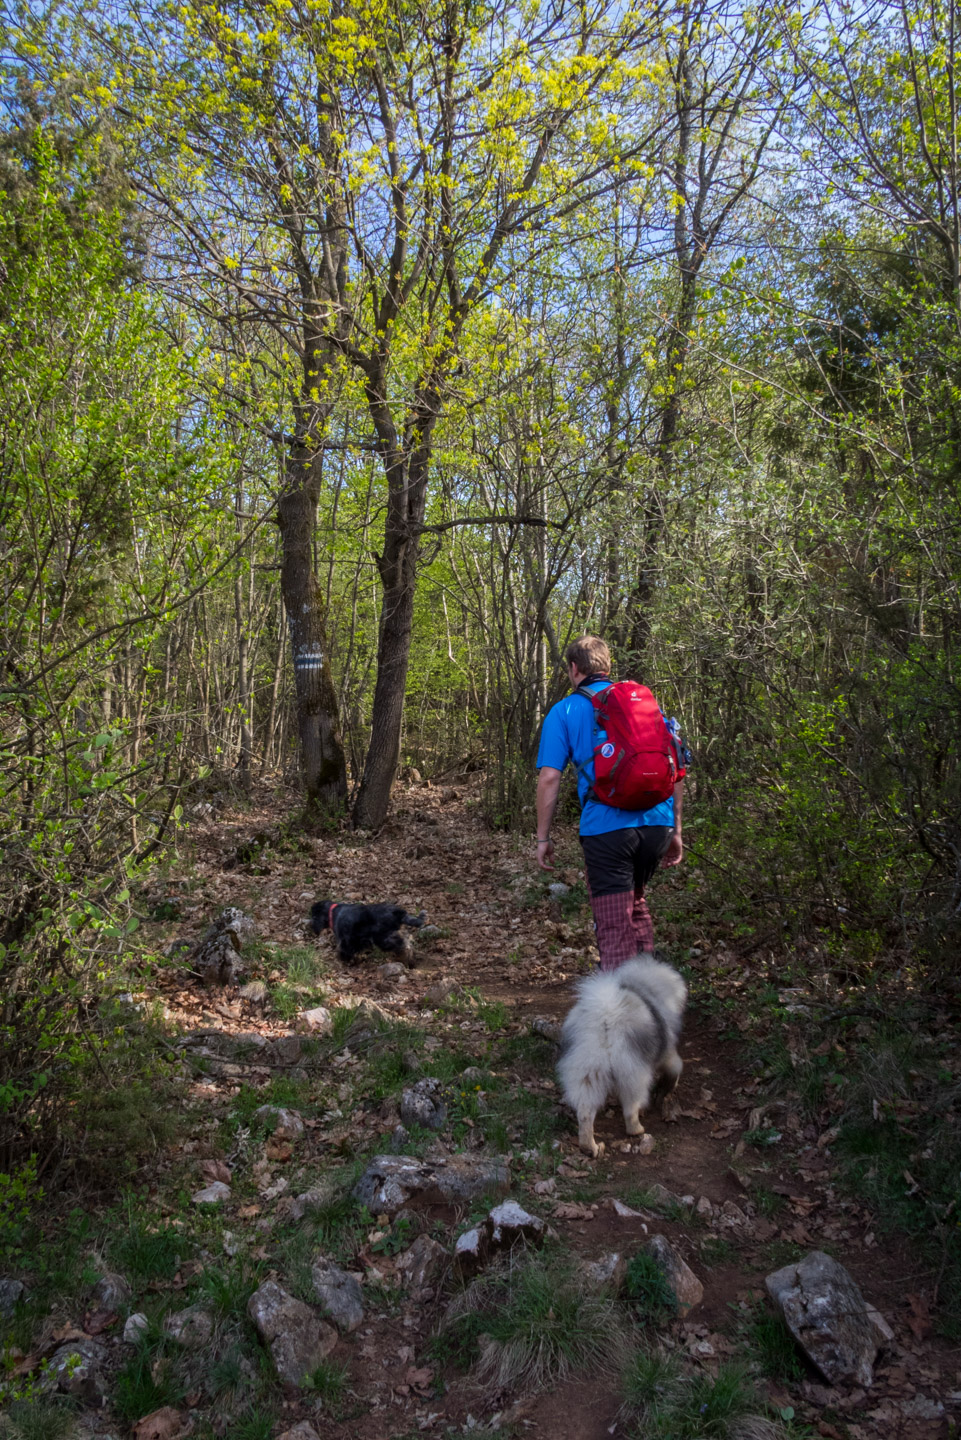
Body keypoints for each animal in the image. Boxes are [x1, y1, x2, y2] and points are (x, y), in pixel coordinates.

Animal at [556, 956, 682, 1157]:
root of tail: (606, 1017)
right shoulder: (668, 1054)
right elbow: (675, 1069)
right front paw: (666, 1090)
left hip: (587, 1072)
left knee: (585, 1114)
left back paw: (590, 1147)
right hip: (634, 1073)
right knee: (630, 1109)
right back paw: (636, 1129)